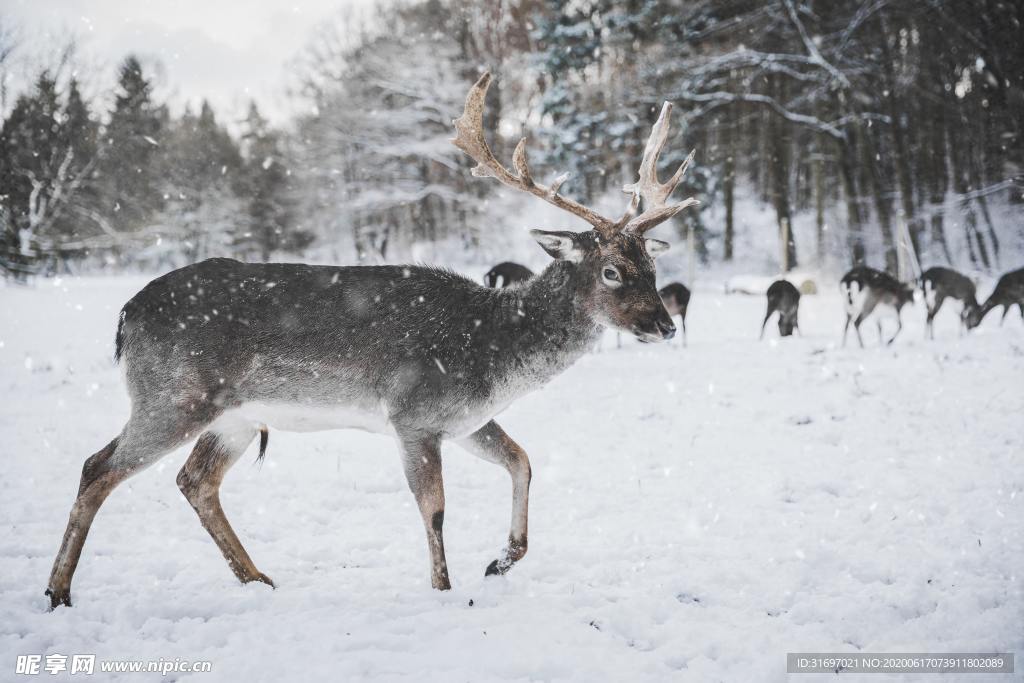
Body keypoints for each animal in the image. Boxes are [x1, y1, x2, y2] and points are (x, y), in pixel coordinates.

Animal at [44, 73, 700, 610]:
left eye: (650, 264)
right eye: (611, 271)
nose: (665, 325)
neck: (493, 352)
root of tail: (125, 316)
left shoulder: (465, 419)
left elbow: (523, 460)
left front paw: (500, 561)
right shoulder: (414, 413)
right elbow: (435, 508)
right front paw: (444, 590)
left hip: (233, 416)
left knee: (194, 481)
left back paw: (258, 579)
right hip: (173, 395)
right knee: (97, 467)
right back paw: (59, 591)